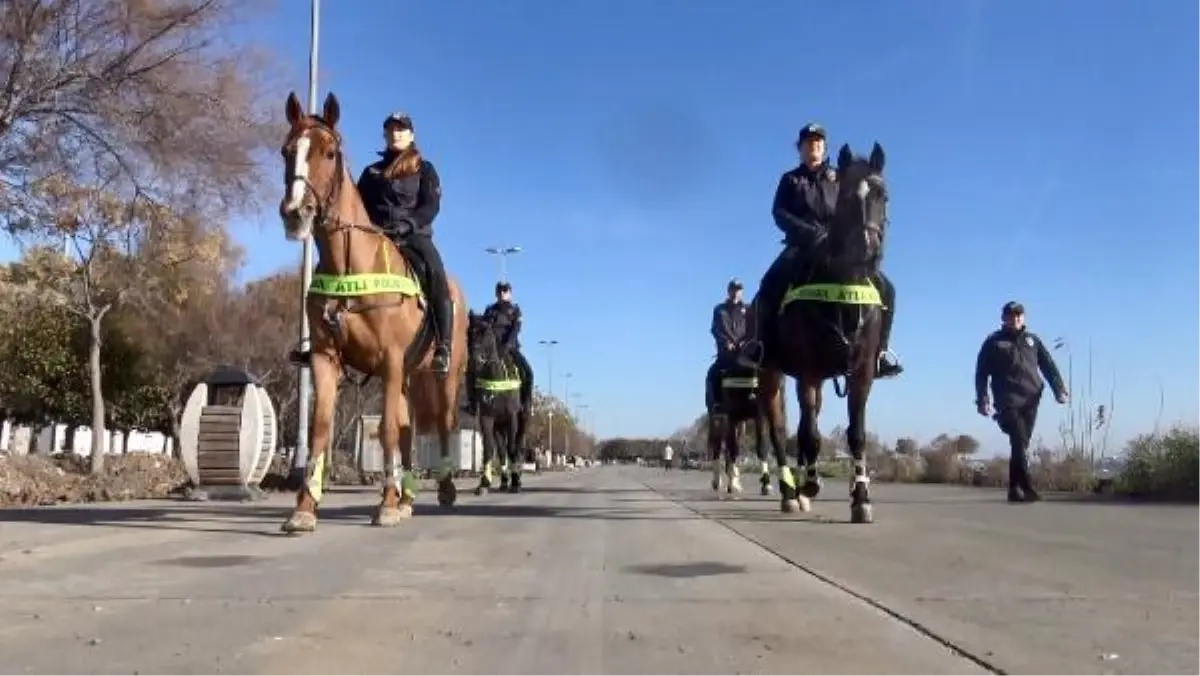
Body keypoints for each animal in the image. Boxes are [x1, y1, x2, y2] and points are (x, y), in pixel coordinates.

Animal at [276, 91, 468, 535]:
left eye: (329, 152)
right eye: (286, 151)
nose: (295, 212)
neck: (350, 265)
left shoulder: (391, 361)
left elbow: (386, 432)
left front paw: (386, 504)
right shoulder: (327, 360)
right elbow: (321, 428)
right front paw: (305, 507)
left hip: (443, 375)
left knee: (442, 423)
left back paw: (442, 490)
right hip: (410, 378)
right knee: (411, 427)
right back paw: (409, 496)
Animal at [465, 309, 523, 492]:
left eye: (486, 333)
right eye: (469, 332)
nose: (474, 360)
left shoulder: (512, 418)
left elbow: (512, 448)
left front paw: (516, 481)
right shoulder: (487, 418)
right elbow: (489, 449)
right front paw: (484, 482)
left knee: (515, 447)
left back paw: (514, 479)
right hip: (499, 426)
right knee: (502, 451)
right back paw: (504, 481)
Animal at [705, 362, 772, 494]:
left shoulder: (760, 415)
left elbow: (761, 446)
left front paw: (766, 484)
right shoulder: (731, 418)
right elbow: (732, 449)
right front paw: (731, 483)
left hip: (740, 424)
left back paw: (734, 479)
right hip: (716, 418)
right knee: (717, 444)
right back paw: (717, 481)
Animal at [753, 141, 888, 523]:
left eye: (883, 196)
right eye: (846, 198)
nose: (868, 251)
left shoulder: (861, 373)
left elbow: (856, 434)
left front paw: (861, 498)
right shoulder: (808, 372)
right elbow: (808, 434)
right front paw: (809, 485)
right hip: (771, 374)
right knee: (780, 431)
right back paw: (790, 491)